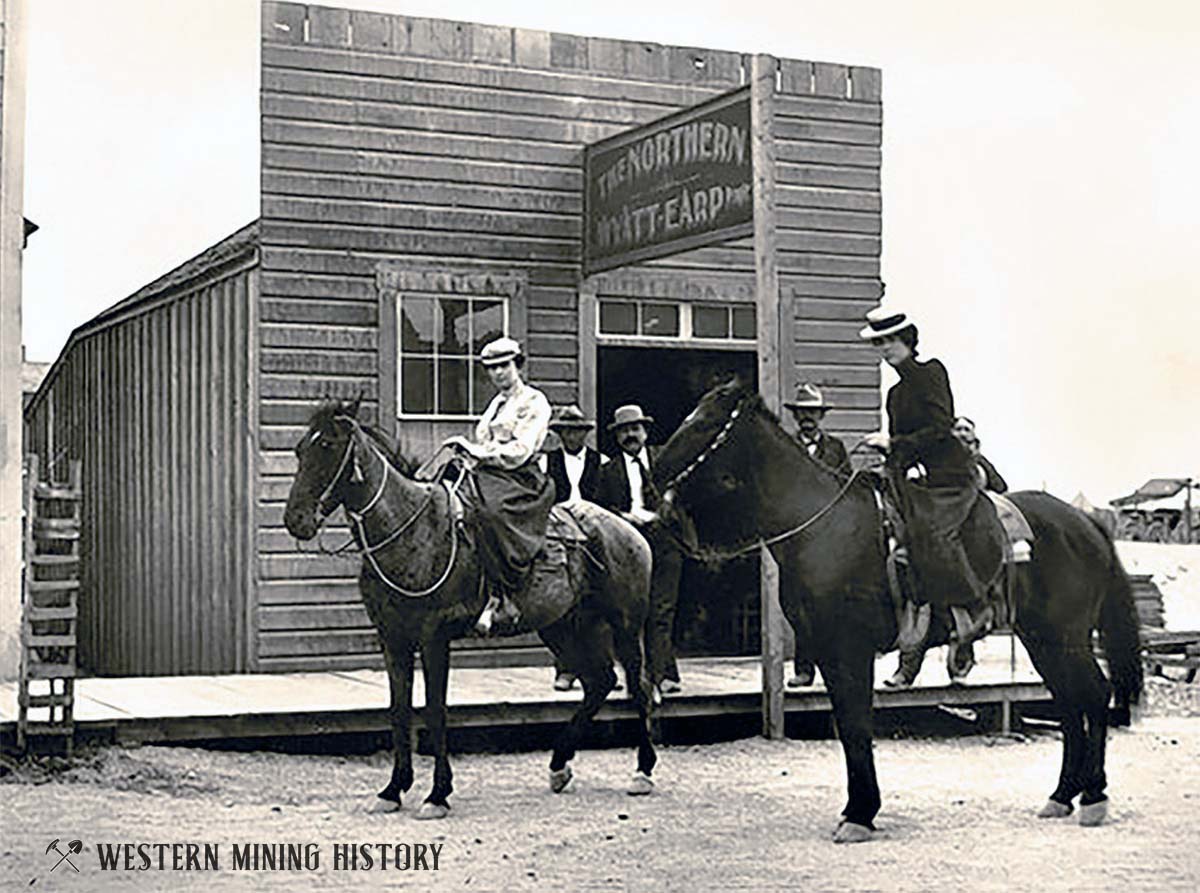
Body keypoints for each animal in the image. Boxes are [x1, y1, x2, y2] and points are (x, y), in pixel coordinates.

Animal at [283, 400, 657, 820]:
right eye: (300, 449)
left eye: (328, 445)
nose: (296, 520)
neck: (411, 531)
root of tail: (627, 528)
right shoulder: (392, 639)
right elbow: (399, 711)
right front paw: (394, 789)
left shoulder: (433, 637)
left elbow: (435, 709)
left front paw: (437, 794)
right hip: (565, 627)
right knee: (600, 682)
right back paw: (559, 765)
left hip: (625, 626)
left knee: (638, 687)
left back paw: (642, 772)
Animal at [652, 379, 1137, 840]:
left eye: (702, 423)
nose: (654, 475)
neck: (824, 528)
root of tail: (1085, 522)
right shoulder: (827, 650)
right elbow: (849, 725)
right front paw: (858, 810)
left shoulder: (849, 648)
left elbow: (857, 726)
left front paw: (860, 815)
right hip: (1043, 641)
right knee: (1070, 707)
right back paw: (1061, 796)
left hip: (1066, 637)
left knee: (1094, 696)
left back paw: (1093, 798)